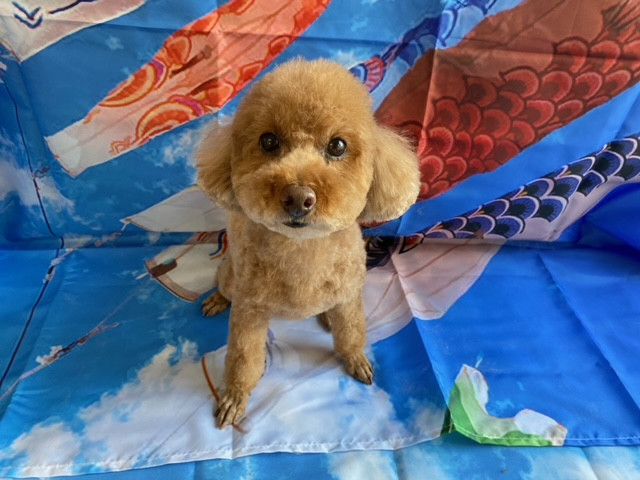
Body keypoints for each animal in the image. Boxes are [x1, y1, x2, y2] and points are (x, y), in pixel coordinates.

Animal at [197, 58, 420, 428]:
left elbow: (351, 332)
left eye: (338, 146)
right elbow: (243, 359)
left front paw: (355, 358)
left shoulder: (349, 296)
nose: (299, 198)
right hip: (231, 276)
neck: (303, 250)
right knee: (223, 283)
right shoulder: (249, 312)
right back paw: (216, 299)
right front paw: (235, 396)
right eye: (268, 141)